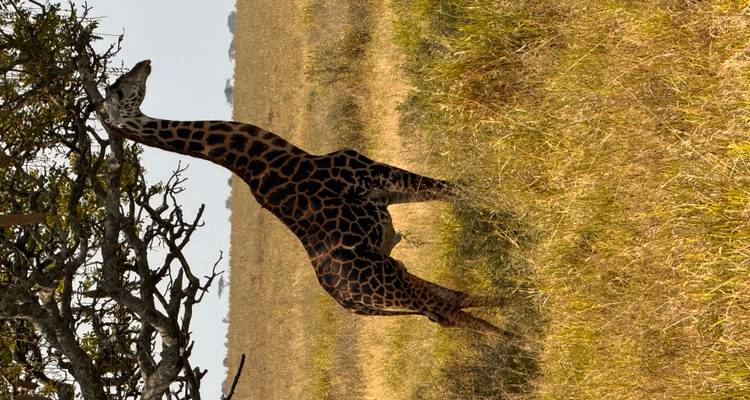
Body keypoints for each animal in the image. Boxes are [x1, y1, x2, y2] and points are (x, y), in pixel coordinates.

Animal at [102, 60, 510, 338]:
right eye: (119, 89)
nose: (145, 63)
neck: (278, 158)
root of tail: (351, 304)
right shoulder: (371, 174)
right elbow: (456, 189)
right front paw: (505, 203)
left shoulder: (383, 192)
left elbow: (450, 190)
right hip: (389, 281)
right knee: (443, 307)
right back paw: (516, 339)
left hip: (391, 281)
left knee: (447, 302)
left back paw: (513, 308)